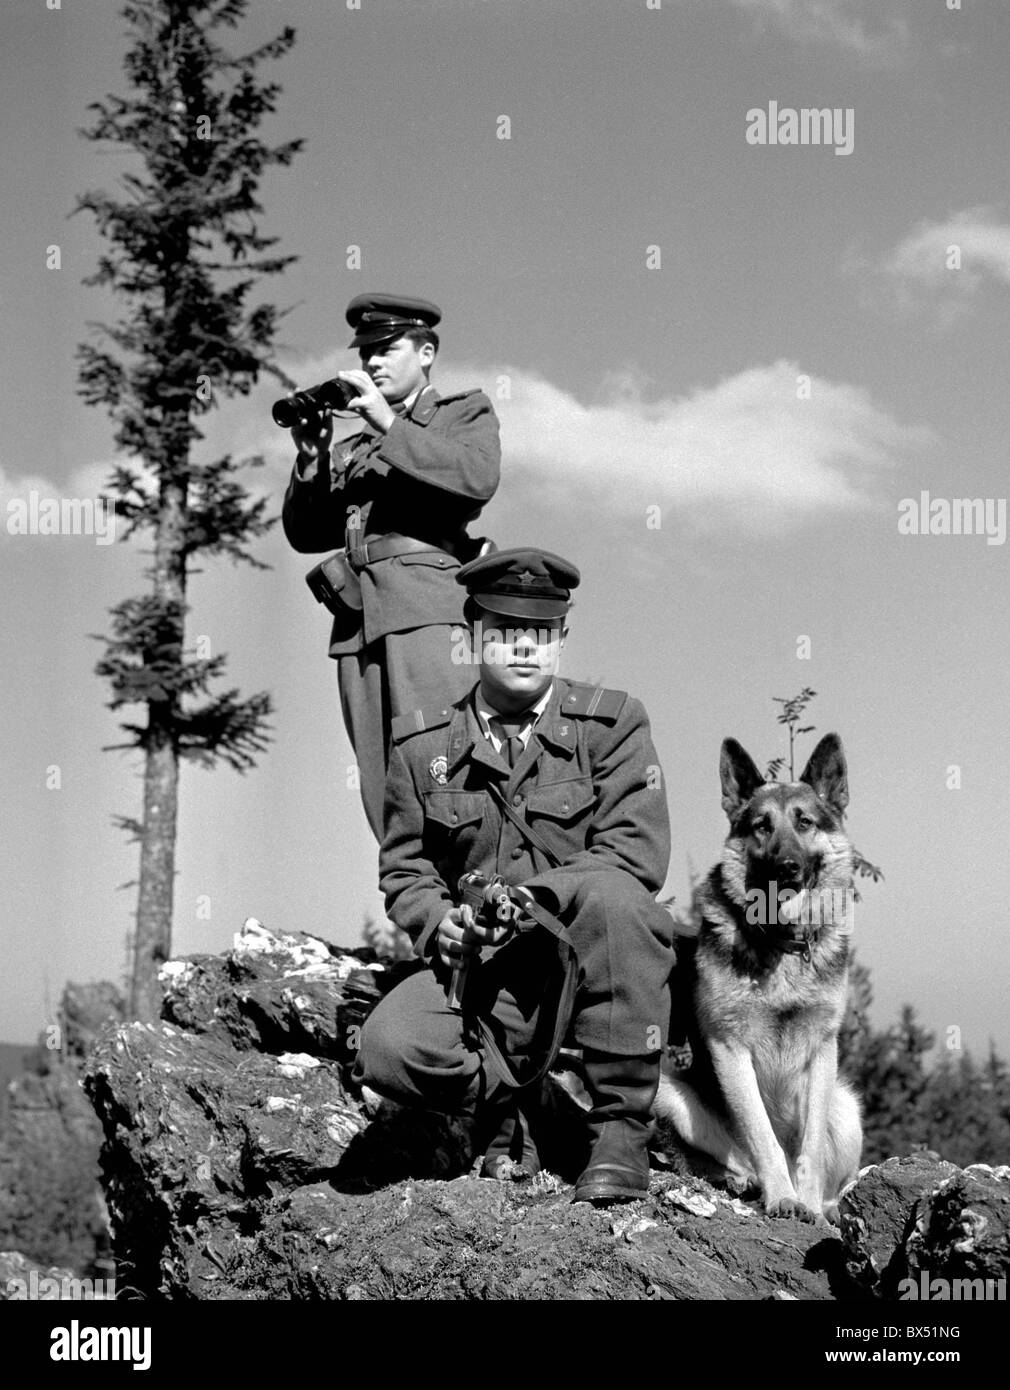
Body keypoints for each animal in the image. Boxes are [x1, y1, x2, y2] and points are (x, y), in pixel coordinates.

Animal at [655, 733, 861, 1223]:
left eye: (804, 822)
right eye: (761, 826)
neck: (782, 946)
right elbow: (762, 1135)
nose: (787, 867)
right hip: (666, 1091)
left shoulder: (822, 1048)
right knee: (731, 1156)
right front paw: (784, 1197)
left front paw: (807, 1203)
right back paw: (745, 1180)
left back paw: (826, 1206)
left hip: (847, 1106)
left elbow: (810, 1148)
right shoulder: (730, 1048)